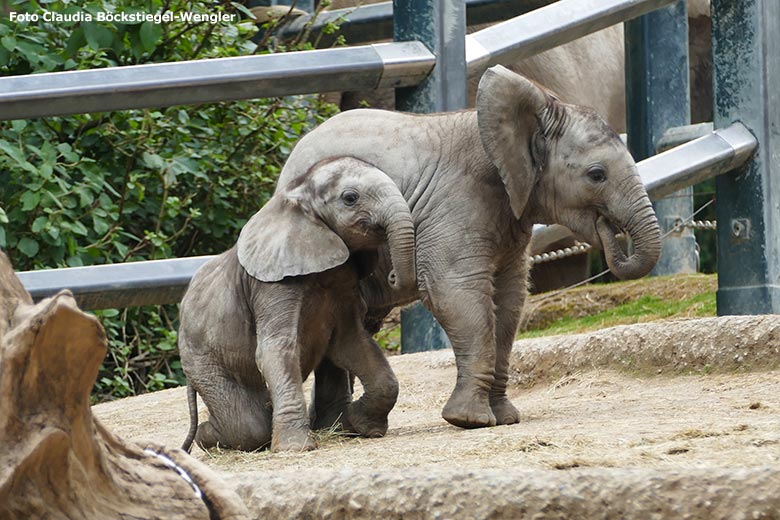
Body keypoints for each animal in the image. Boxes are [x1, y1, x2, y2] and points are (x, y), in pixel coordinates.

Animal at [181, 156, 418, 452]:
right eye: (350, 198)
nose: (393, 275)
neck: (296, 198)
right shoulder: (272, 284)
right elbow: (278, 348)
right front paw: (295, 448)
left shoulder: (345, 282)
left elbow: (351, 342)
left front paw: (363, 425)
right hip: (201, 358)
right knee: (247, 425)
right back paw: (205, 438)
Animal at [278, 66, 660, 430]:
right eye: (596, 175)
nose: (608, 231)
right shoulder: (457, 203)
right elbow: (456, 293)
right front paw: (469, 421)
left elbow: (509, 301)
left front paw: (504, 417)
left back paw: (341, 427)